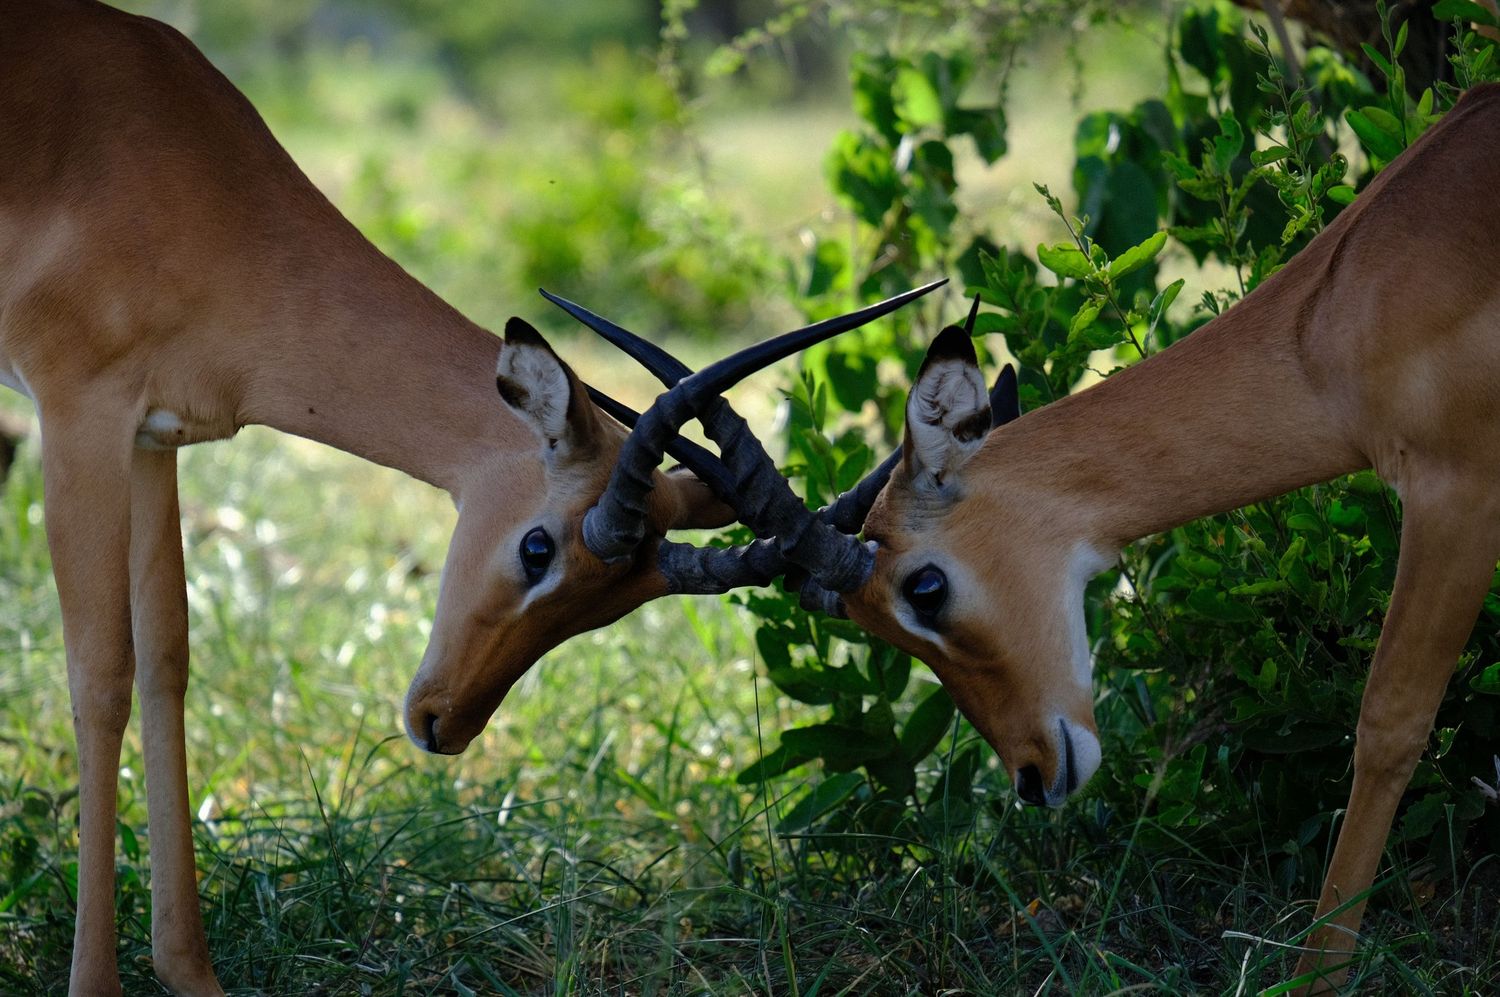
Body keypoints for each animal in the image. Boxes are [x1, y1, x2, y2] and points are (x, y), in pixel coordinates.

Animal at [0, 2, 939, 992]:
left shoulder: (154, 440)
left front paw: (189, 972)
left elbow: (167, 661)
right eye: (538, 546)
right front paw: (95, 983)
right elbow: (101, 677)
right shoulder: (81, 418)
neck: (179, 176)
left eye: (617, 603)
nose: (440, 723)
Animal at [590, 82, 1500, 993]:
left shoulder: (1457, 492)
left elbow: (1388, 720)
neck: (1334, 314)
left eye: (925, 587)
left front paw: (1316, 972)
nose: (1031, 777)